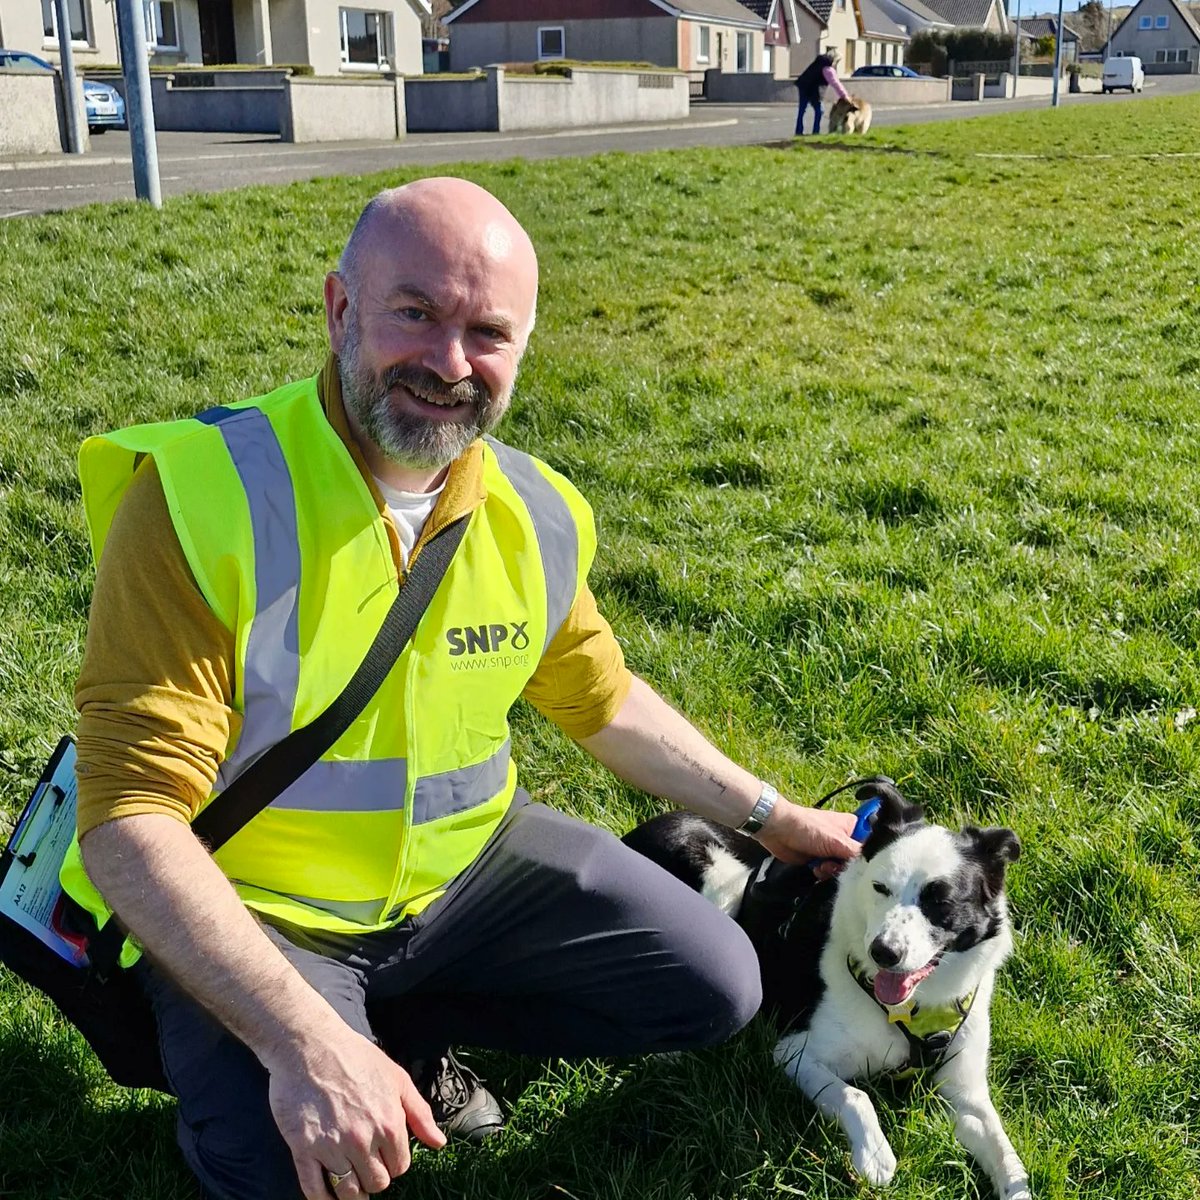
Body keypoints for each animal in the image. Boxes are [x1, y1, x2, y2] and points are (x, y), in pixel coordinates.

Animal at [619, 782, 1032, 1195]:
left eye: (941, 901)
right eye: (880, 888)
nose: (883, 953)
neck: (909, 1008)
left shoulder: (966, 1095)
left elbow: (1006, 1154)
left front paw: (1018, 1186)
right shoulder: (795, 1053)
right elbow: (857, 1095)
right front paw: (874, 1154)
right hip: (721, 883)